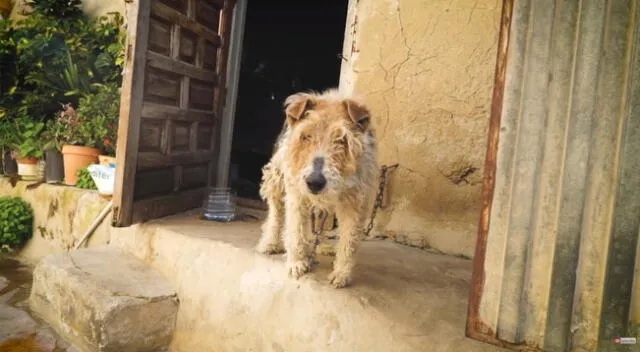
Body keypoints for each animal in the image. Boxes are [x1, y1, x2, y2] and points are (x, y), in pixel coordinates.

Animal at [254, 88, 376, 288]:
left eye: (342, 139)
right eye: (306, 136)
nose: (314, 182)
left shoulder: (354, 201)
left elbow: (348, 240)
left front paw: (341, 273)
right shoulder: (296, 193)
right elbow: (295, 229)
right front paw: (296, 263)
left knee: (320, 221)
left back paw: (322, 245)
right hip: (276, 176)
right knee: (276, 213)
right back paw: (270, 243)